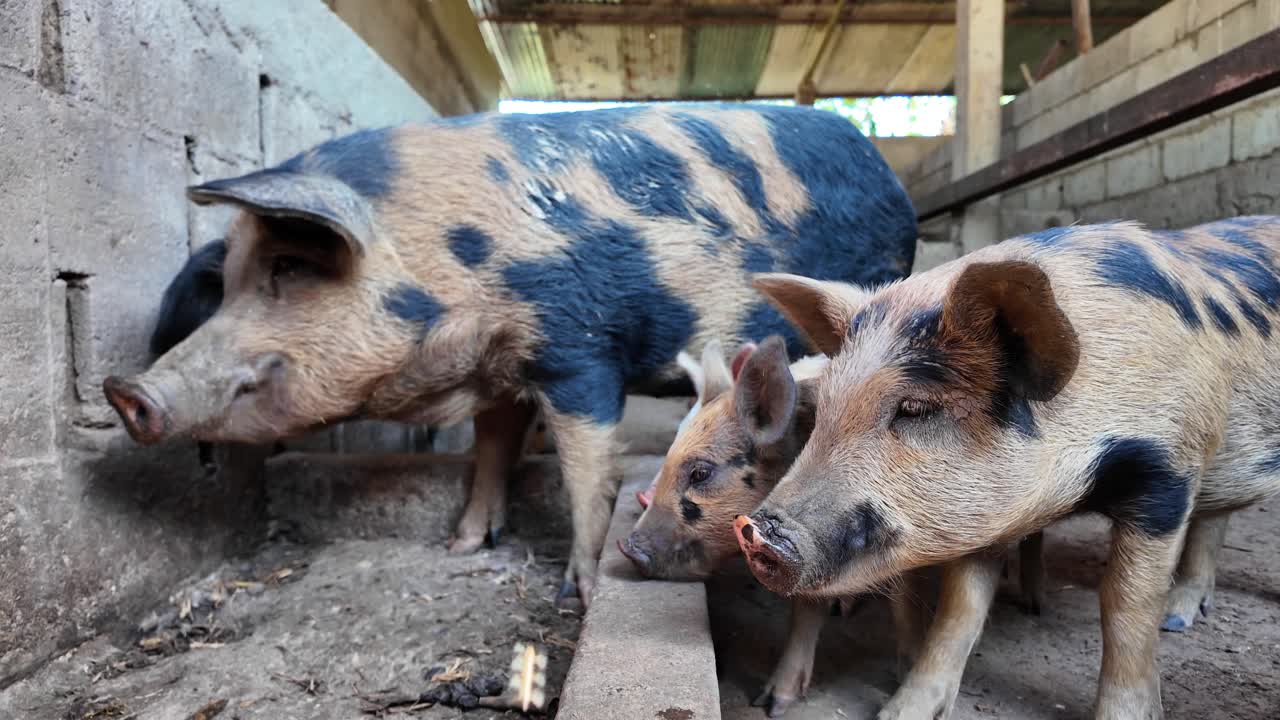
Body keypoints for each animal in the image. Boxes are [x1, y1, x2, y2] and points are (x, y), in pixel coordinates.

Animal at [101, 104, 919, 608]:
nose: (125, 391)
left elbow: (588, 472)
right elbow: (489, 446)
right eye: (232, 281)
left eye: (290, 269)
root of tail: (890, 175)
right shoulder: (499, 369)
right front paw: (463, 544)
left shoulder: (577, 346)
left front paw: (578, 589)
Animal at [734, 217, 1280, 719]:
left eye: (915, 408)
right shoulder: (983, 514)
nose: (755, 530)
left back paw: (1172, 620)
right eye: (824, 404)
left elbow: (1126, 608)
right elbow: (959, 612)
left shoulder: (1168, 474)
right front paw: (898, 713)